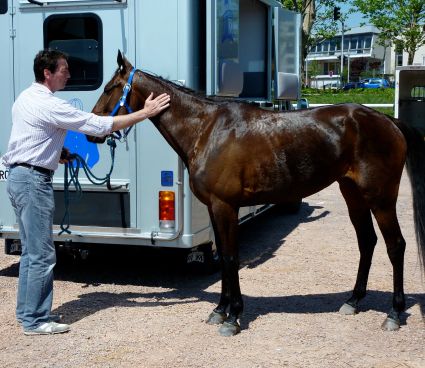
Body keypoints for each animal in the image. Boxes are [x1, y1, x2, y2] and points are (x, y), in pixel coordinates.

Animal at [88, 51, 424, 336]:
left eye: (110, 87)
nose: (93, 132)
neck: (207, 130)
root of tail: (387, 120)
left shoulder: (226, 206)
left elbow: (232, 257)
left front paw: (234, 316)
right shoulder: (214, 208)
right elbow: (224, 258)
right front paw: (220, 310)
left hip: (381, 198)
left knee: (396, 246)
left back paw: (394, 314)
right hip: (352, 194)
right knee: (367, 242)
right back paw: (353, 301)